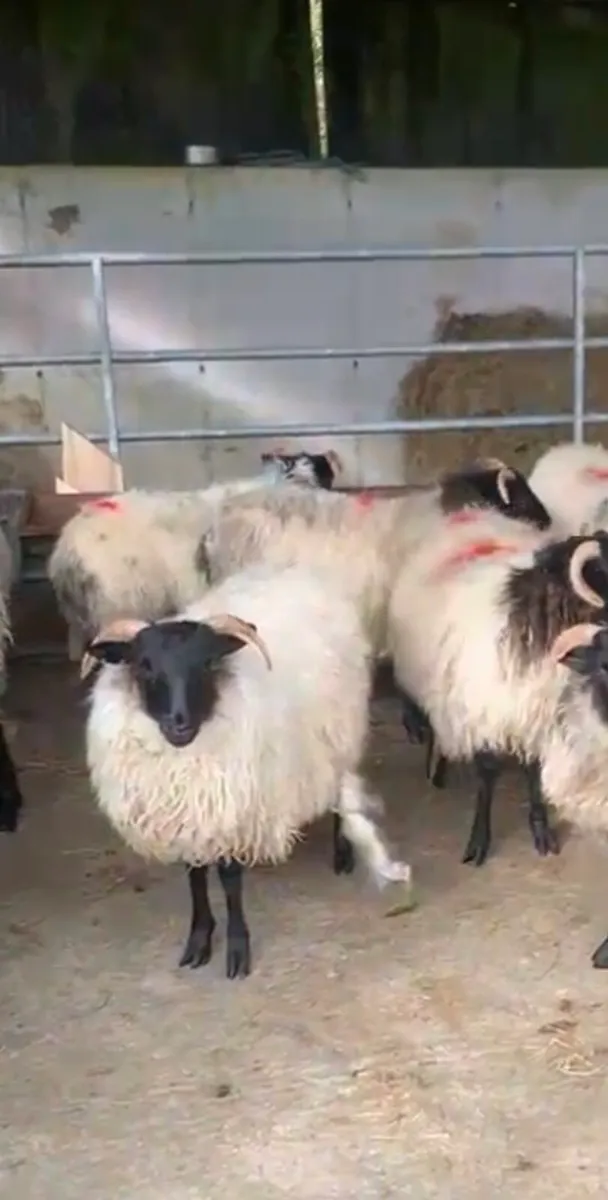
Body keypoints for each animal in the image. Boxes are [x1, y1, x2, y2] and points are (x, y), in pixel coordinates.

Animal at [81, 564, 412, 979]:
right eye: (144, 666)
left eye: (208, 664)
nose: (179, 723)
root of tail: (296, 573)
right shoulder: (189, 816)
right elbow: (195, 877)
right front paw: (199, 940)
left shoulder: (235, 811)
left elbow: (229, 880)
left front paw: (238, 950)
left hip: (339, 733)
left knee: (341, 788)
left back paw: (342, 853)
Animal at [387, 529, 608, 868]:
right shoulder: (485, 714)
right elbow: (488, 773)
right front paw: (478, 841)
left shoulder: (537, 718)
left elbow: (533, 773)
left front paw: (541, 831)